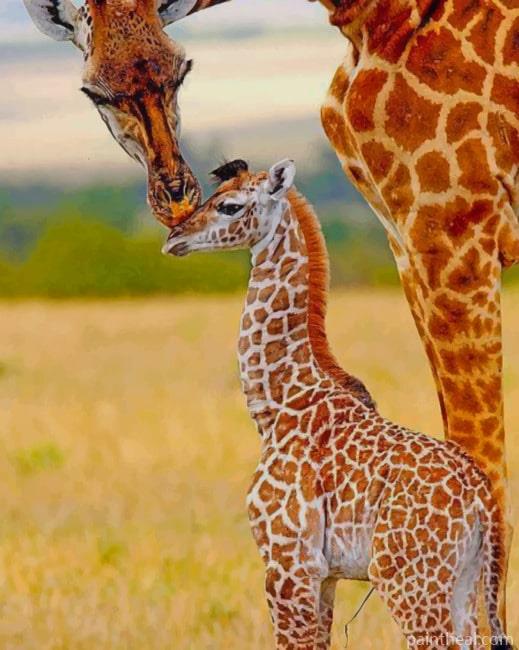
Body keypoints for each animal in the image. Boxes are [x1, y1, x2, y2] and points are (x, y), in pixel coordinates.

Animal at [163, 158, 511, 650]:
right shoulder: (324, 575)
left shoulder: (288, 563)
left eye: (229, 205)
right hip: (464, 582)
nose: (175, 237)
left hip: (408, 581)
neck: (277, 405)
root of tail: (482, 498)